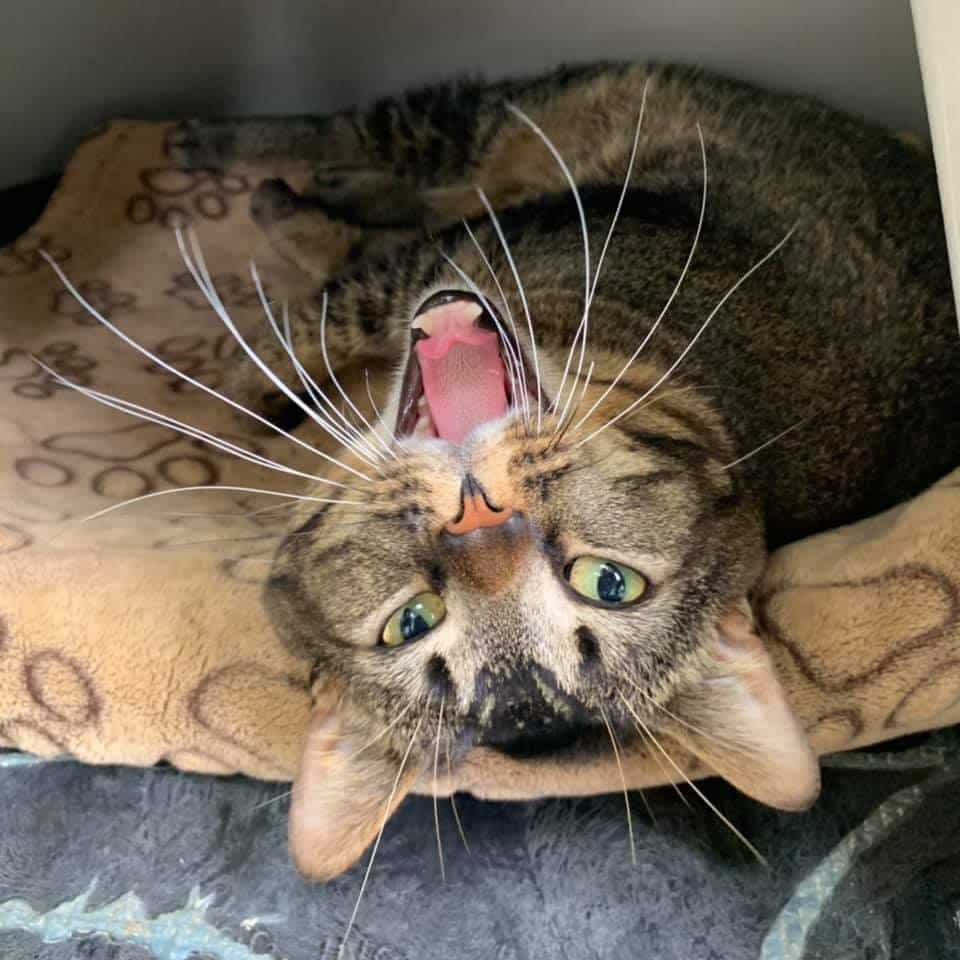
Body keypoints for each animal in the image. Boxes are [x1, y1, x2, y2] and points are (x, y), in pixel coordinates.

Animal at [170, 61, 960, 880]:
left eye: (607, 583)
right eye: (410, 622)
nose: (477, 513)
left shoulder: (501, 237)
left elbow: (340, 299)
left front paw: (238, 377)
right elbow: (345, 302)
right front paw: (256, 380)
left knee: (381, 155)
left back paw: (274, 184)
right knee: (369, 148)